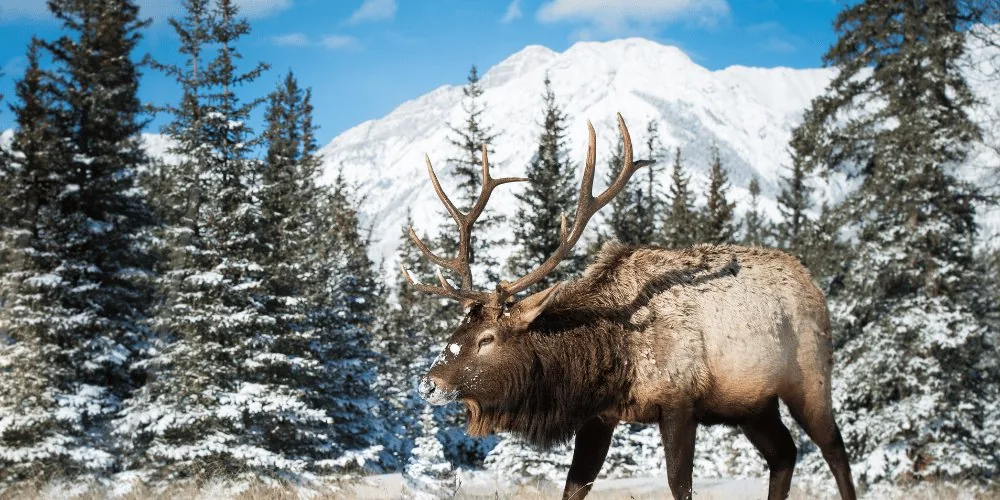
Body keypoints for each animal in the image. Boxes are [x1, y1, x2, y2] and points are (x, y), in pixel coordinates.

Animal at [399, 114, 857, 500]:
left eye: (487, 338)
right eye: (459, 328)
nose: (428, 384)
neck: (610, 357)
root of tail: (814, 285)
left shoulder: (679, 401)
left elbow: (679, 487)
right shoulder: (600, 416)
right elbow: (574, 486)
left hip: (809, 376)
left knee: (835, 449)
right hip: (752, 404)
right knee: (784, 454)